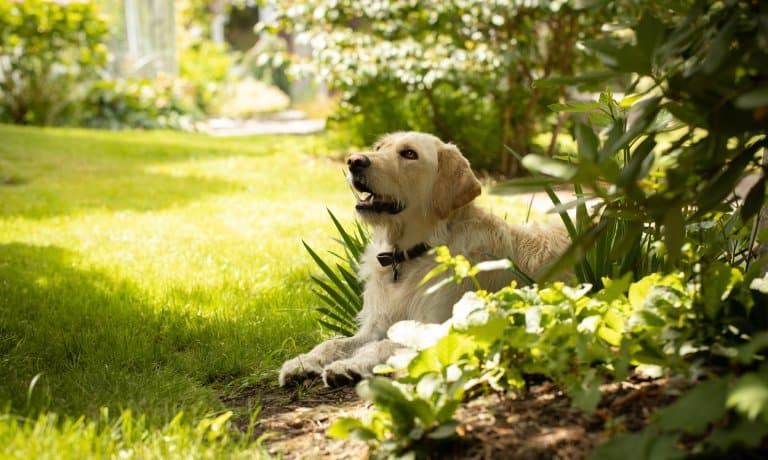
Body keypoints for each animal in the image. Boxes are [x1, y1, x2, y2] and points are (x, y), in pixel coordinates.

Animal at [280, 131, 568, 386]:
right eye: (379, 147)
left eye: (409, 154)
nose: (354, 161)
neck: (408, 256)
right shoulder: (375, 325)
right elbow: (333, 342)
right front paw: (303, 362)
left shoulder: (437, 327)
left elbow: (381, 346)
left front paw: (348, 366)